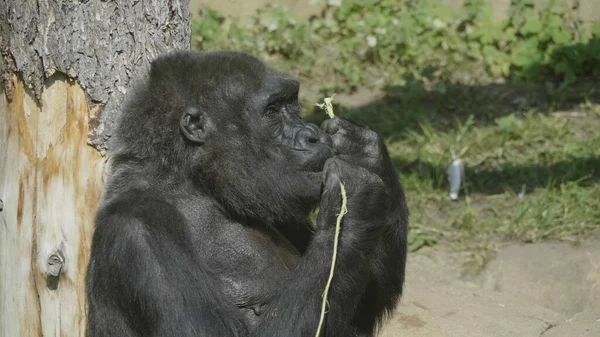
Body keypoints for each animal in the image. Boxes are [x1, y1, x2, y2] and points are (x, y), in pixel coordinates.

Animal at [85, 50, 408, 336]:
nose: (312, 135)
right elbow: (206, 333)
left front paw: (365, 149)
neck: (194, 184)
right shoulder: (140, 233)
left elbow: (362, 308)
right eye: (271, 112)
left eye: (291, 105)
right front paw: (351, 200)